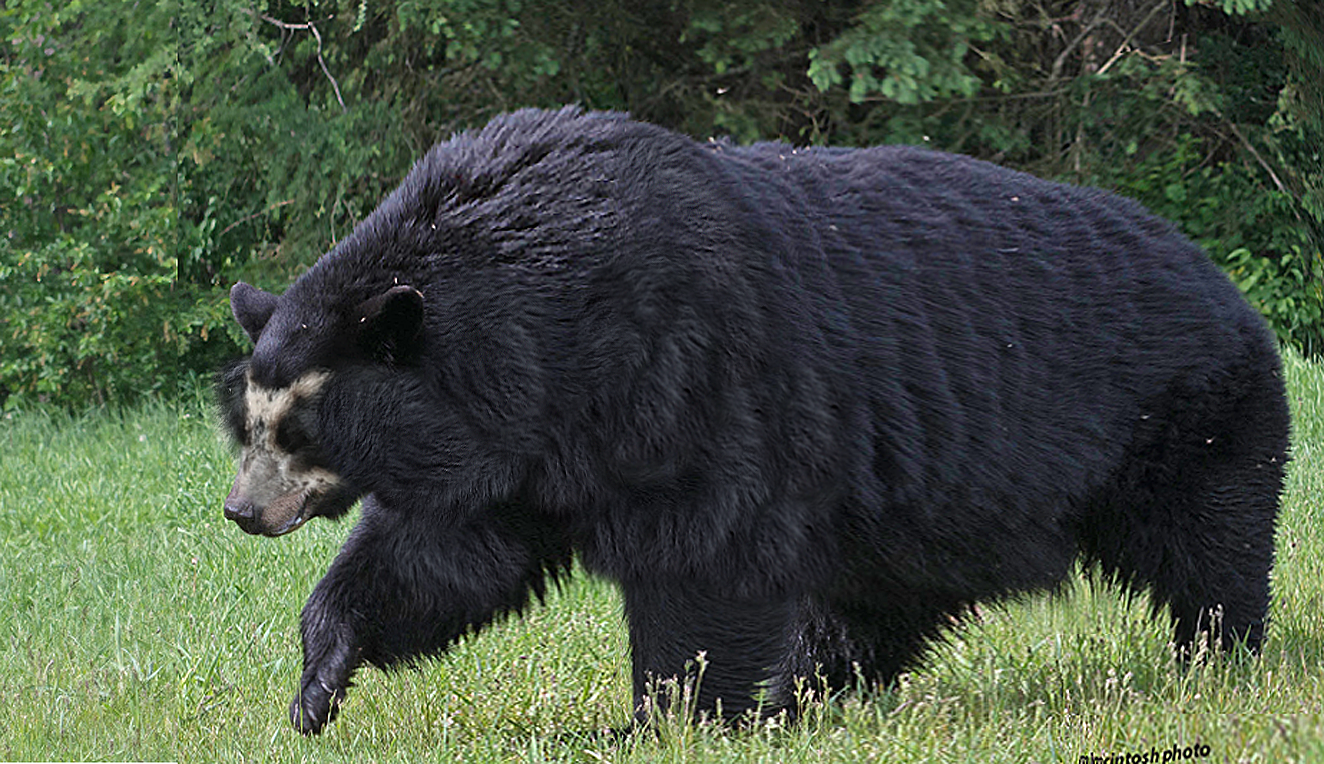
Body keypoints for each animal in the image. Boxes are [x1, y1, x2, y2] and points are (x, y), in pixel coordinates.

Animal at [217, 105, 1281, 730]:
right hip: (914, 506)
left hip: (1185, 422)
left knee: (1209, 548)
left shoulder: (681, 379)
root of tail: (1236, 300)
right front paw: (318, 681)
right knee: (869, 606)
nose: (241, 512)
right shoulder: (518, 449)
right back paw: (807, 699)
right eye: (251, 421)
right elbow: (446, 557)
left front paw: (659, 719)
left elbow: (704, 555)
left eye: (298, 428)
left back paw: (1214, 658)